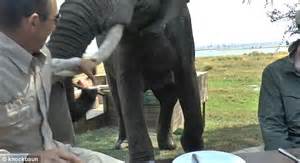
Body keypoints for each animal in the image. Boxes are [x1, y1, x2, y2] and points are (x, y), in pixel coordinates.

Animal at [47, 0, 204, 161]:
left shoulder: (183, 27)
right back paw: (123, 144)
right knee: (119, 99)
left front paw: (195, 149)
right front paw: (144, 160)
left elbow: (186, 76)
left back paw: (168, 145)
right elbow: (129, 85)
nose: (85, 82)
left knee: (168, 96)